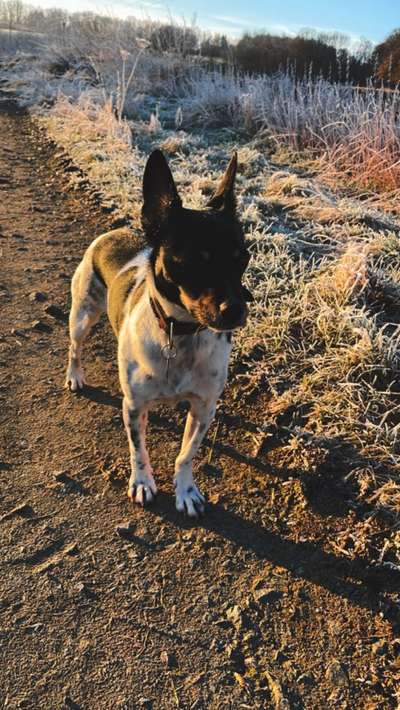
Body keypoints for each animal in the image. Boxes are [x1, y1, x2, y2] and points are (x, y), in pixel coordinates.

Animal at [67, 150, 252, 516]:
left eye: (244, 258)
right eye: (196, 260)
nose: (237, 309)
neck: (180, 333)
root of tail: (113, 233)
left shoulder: (204, 408)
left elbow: (186, 454)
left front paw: (186, 490)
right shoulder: (134, 406)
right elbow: (138, 450)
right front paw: (142, 482)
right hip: (82, 315)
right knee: (75, 347)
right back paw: (75, 375)